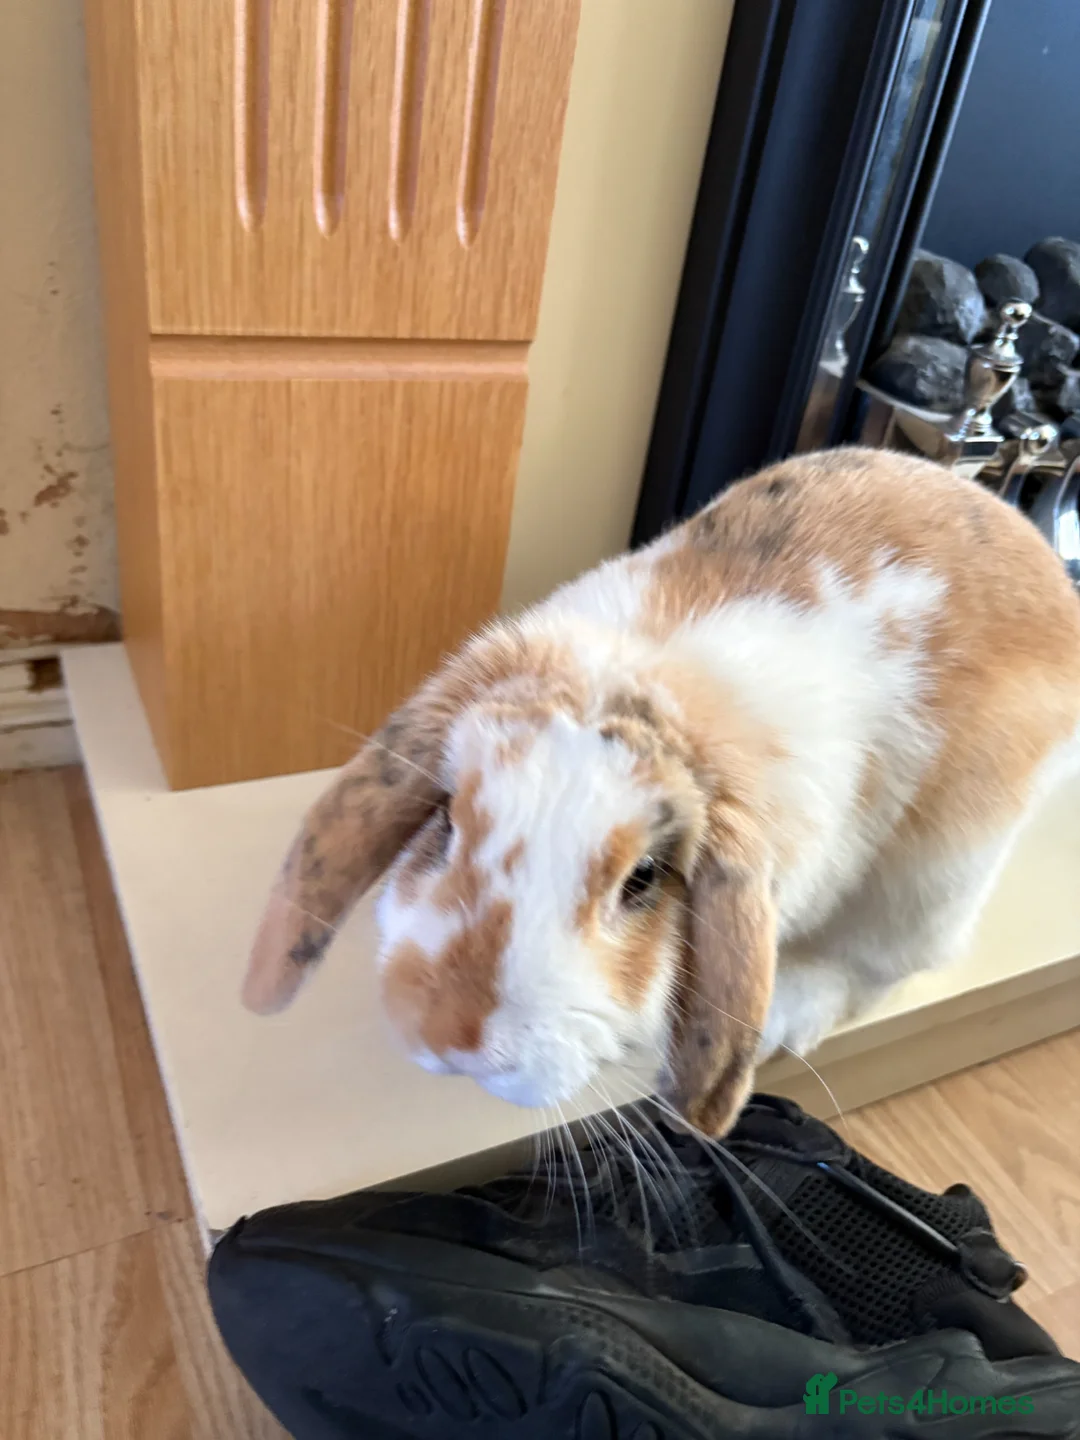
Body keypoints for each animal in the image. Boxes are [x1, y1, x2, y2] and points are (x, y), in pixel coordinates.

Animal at [243, 446, 1080, 1138]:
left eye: (644, 879)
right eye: (446, 818)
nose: (449, 1034)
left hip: (937, 870)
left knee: (885, 963)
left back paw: (788, 1008)